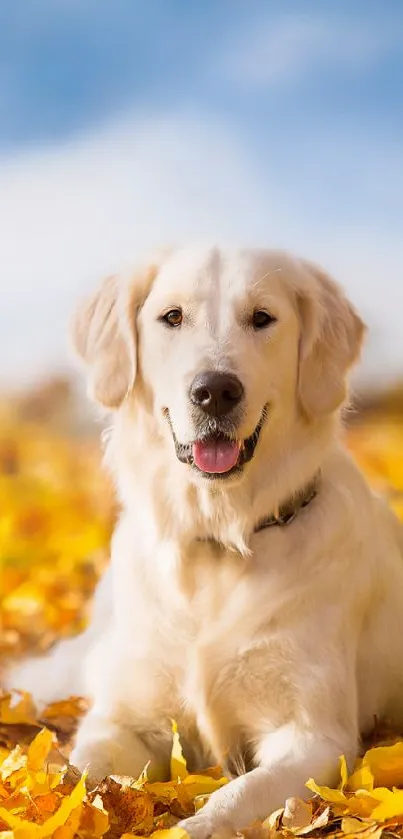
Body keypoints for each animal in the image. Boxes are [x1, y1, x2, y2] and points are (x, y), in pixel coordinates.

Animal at [7, 249, 403, 839]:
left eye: (262, 318)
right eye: (172, 317)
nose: (215, 390)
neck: (217, 541)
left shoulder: (314, 738)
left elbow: (238, 794)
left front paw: (193, 825)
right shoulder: (126, 718)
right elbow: (78, 774)